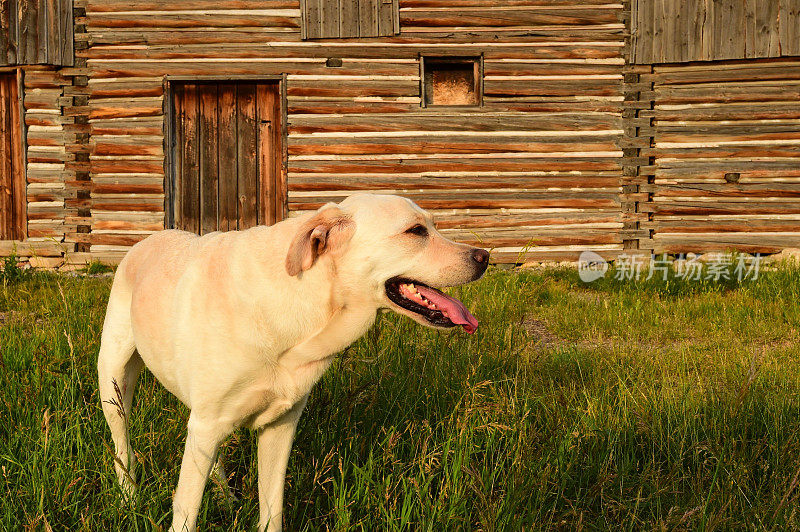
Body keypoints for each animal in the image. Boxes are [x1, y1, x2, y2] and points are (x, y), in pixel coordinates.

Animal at [97, 193, 490, 528]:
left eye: (433, 226)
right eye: (416, 231)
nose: (484, 255)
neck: (304, 300)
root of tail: (147, 239)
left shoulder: (279, 426)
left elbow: (271, 509)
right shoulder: (207, 424)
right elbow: (186, 513)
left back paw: (224, 497)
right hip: (115, 384)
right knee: (122, 446)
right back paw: (129, 498)